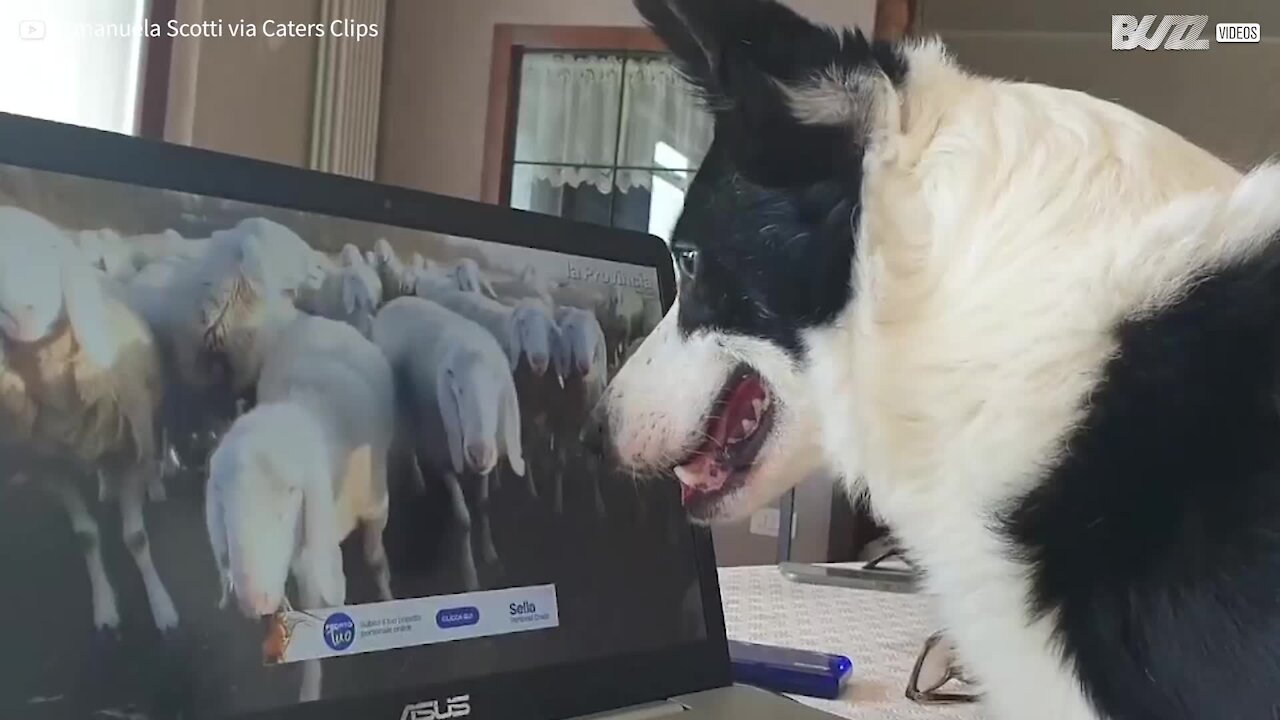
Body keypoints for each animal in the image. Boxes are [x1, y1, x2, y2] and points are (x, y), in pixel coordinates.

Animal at [0, 204, 180, 630]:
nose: (17, 315)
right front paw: (105, 608)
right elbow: (85, 536)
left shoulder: (130, 449)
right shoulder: (51, 466)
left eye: (48, 249)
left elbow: (136, 540)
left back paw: (153, 485)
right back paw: (104, 485)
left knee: (153, 451)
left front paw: (162, 607)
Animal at [203, 288, 394, 696]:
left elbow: (374, 559)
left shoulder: (375, 505)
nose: (254, 599)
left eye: (292, 492)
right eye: (222, 504)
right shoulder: (308, 551)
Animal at [373, 295, 524, 589]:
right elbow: (463, 520)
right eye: (459, 391)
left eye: (496, 390)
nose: (478, 453)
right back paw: (417, 479)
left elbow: (483, 505)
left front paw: (490, 553)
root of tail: (397, 299)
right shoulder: (442, 457)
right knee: (409, 448)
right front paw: (471, 578)